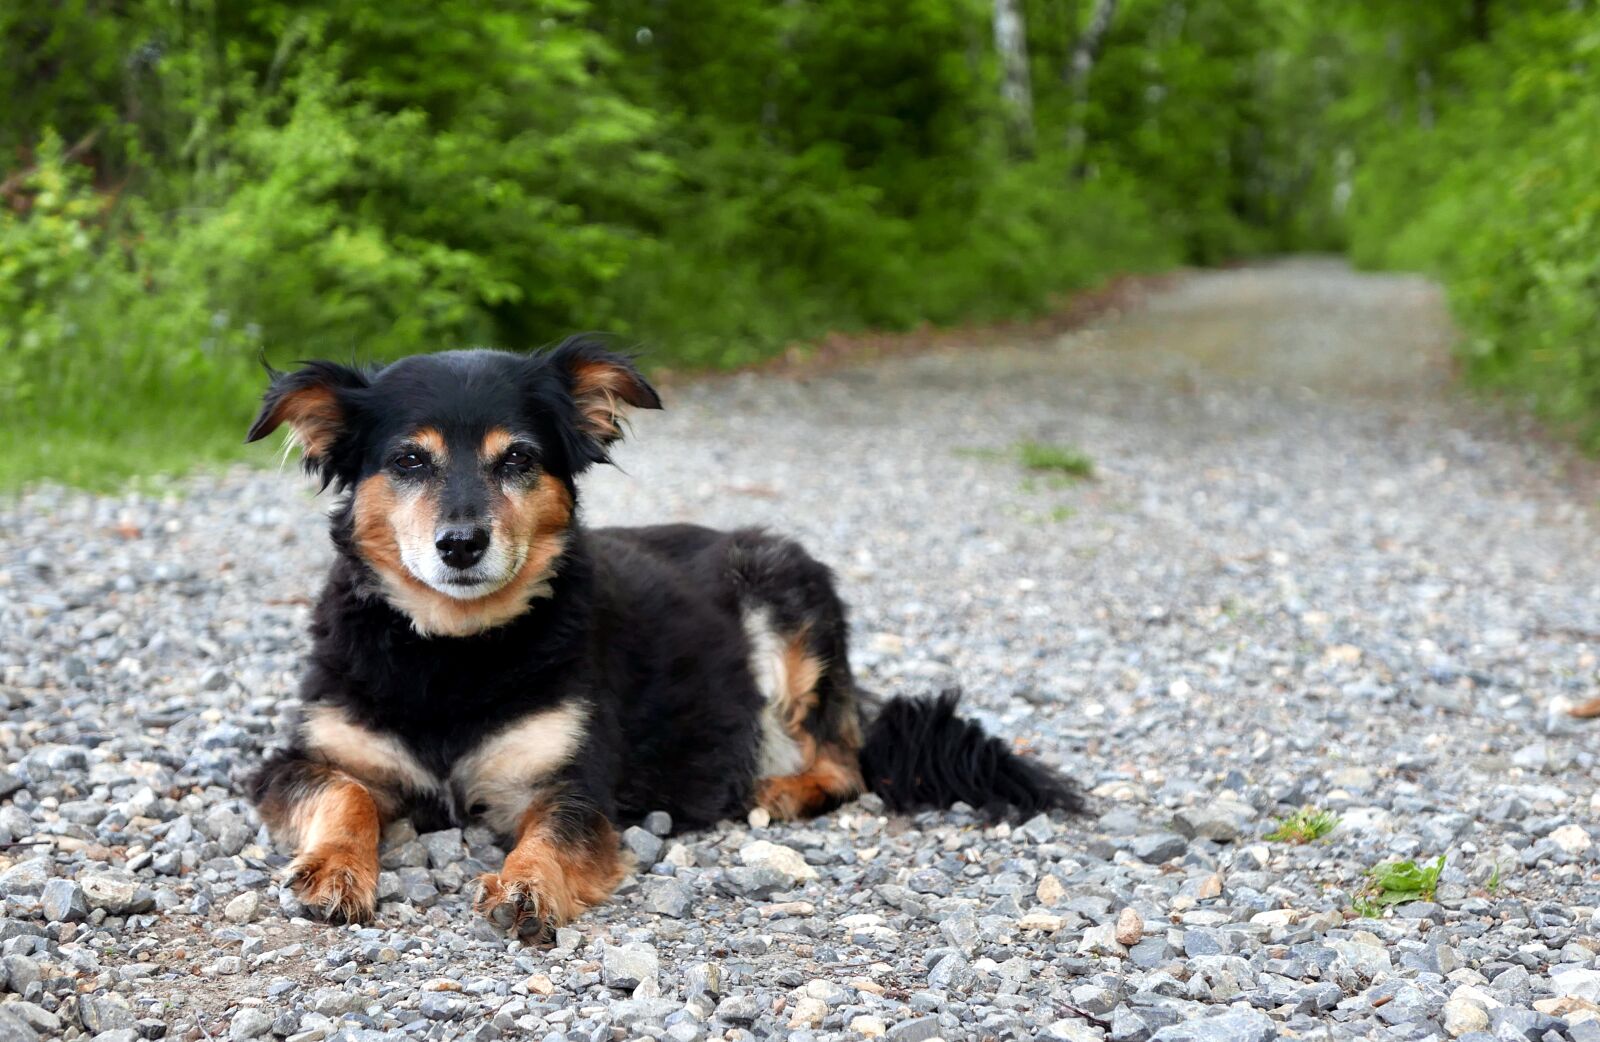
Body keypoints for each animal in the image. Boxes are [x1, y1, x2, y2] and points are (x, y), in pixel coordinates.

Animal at [243, 340, 1081, 934]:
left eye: (518, 458)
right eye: (408, 460)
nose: (461, 545)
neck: (454, 652)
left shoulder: (576, 783)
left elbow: (553, 834)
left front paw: (527, 884)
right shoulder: (300, 759)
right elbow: (345, 793)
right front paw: (334, 870)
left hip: (781, 592)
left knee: (843, 762)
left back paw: (778, 789)